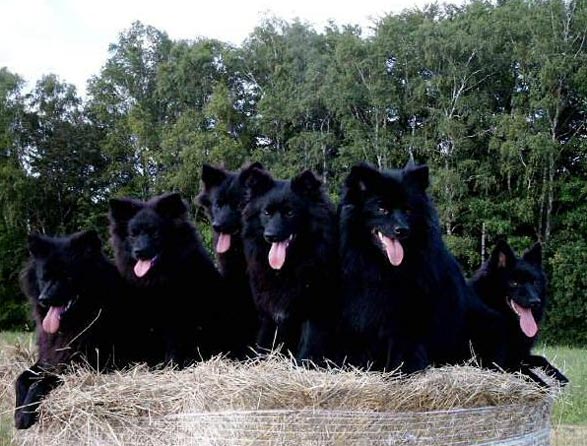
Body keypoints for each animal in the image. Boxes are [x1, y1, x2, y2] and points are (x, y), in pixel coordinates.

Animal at [15, 230, 126, 428]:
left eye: (67, 277)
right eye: (44, 277)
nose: (44, 299)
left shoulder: (83, 364)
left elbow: (41, 383)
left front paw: (25, 415)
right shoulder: (50, 358)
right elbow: (21, 378)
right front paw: (18, 409)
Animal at [109, 192, 229, 366]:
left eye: (155, 233)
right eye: (133, 234)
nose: (139, 251)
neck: (158, 278)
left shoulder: (174, 318)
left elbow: (173, 344)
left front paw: (172, 364)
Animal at [241, 169, 338, 360]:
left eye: (290, 213)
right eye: (266, 213)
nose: (270, 236)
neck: (287, 268)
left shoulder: (315, 313)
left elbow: (308, 348)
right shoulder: (270, 313)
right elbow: (264, 344)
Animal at [338, 161, 470, 372]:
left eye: (408, 210)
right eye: (382, 209)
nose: (402, 230)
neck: (383, 269)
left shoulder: (405, 323)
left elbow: (403, 351)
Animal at [470, 240, 568, 386]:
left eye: (534, 282)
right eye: (514, 283)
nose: (535, 302)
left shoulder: (520, 354)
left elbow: (541, 359)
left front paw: (559, 376)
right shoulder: (495, 362)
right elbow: (526, 372)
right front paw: (544, 386)